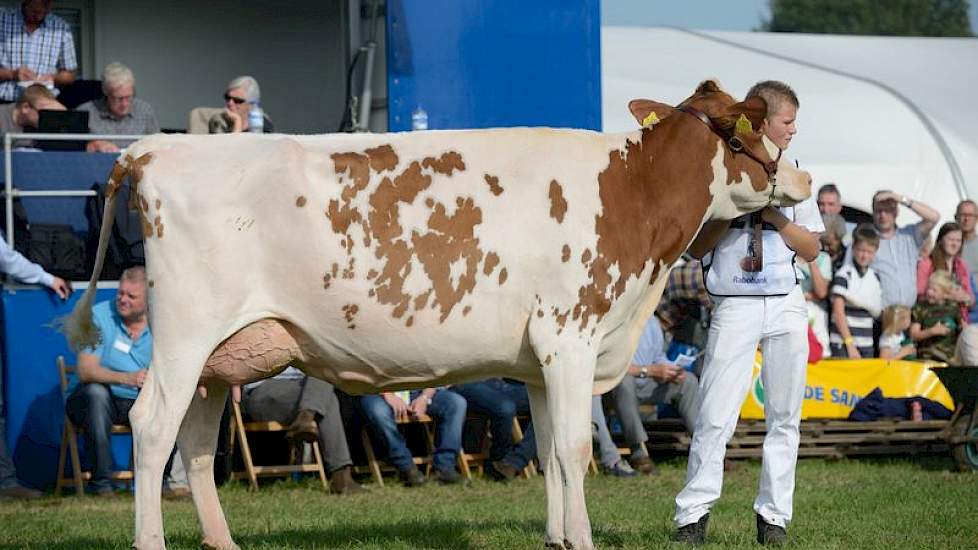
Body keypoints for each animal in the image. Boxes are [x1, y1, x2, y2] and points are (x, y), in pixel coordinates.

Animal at [63, 81, 808, 550]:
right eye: (754, 132)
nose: (800, 176)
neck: (631, 195)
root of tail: (156, 149)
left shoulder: (539, 361)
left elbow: (549, 451)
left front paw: (557, 537)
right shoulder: (569, 337)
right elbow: (574, 448)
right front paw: (584, 538)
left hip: (222, 356)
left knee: (192, 442)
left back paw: (222, 542)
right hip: (185, 335)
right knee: (151, 427)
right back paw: (151, 542)